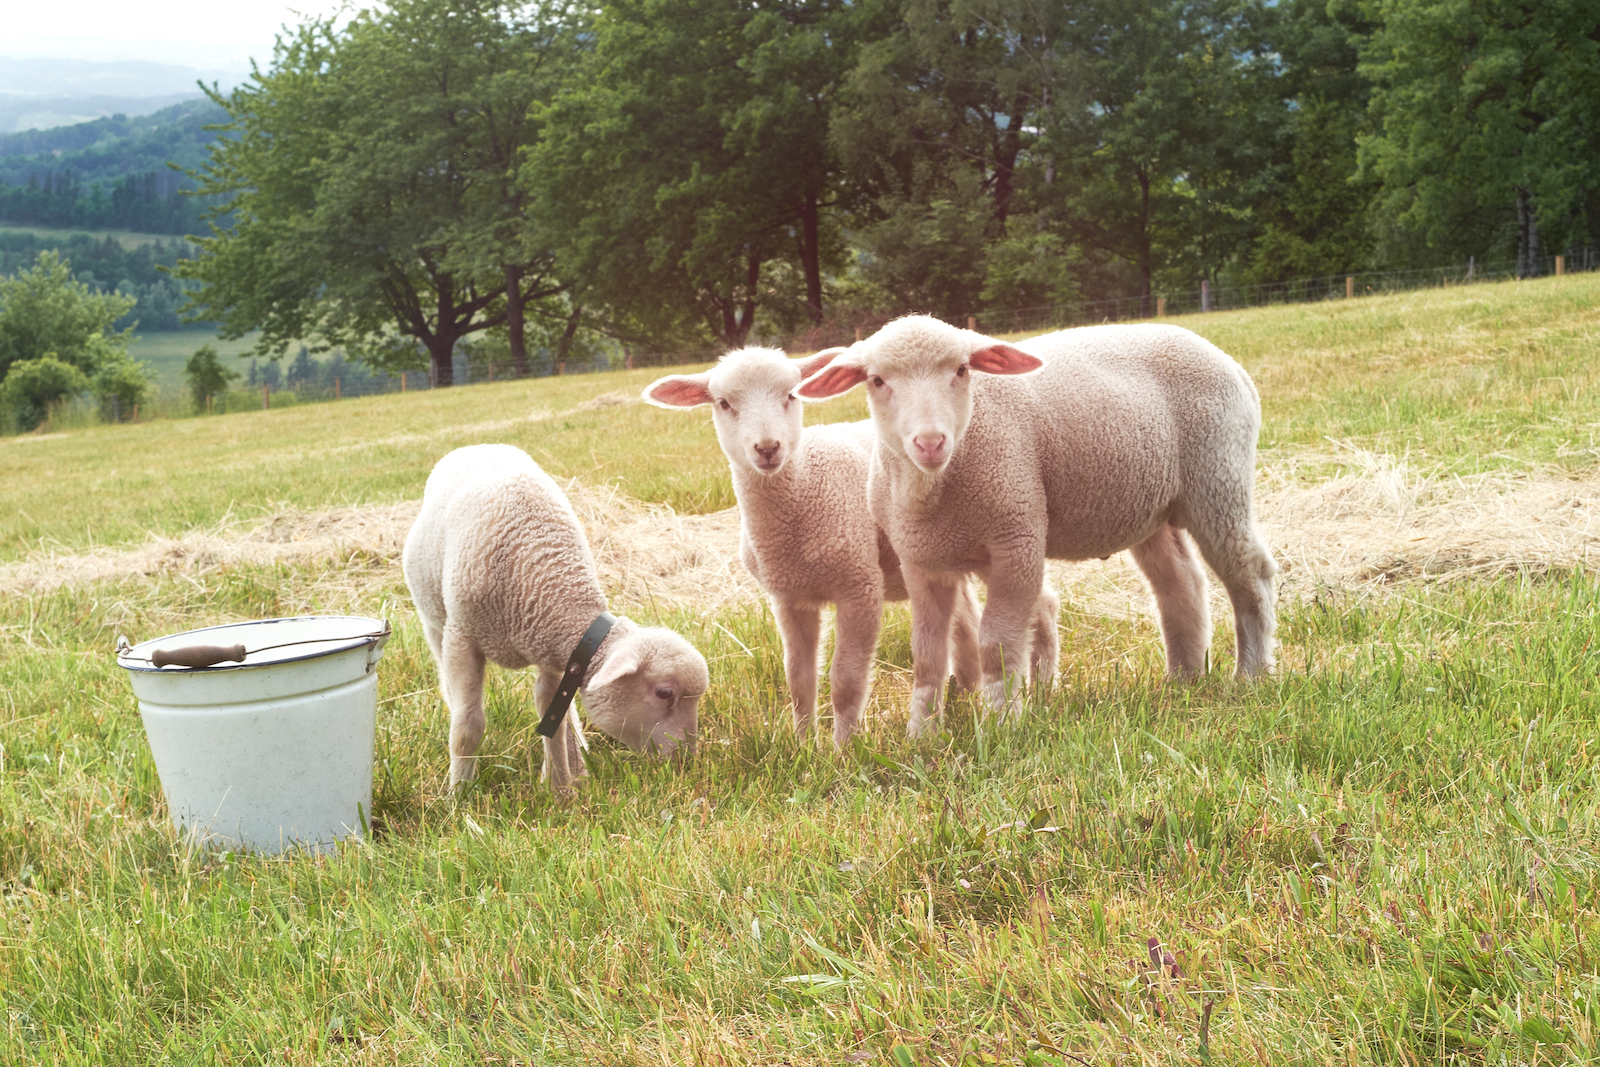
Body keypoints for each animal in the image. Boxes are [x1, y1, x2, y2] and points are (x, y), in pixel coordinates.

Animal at [402, 443, 709, 794]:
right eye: (664, 693)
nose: (686, 760)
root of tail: (478, 445)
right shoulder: (462, 637)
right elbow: (468, 725)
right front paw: (459, 792)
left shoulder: (555, 654)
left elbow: (555, 720)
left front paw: (559, 789)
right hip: (435, 622)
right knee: (448, 683)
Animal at [644, 347, 1060, 745]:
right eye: (724, 403)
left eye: (791, 394)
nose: (767, 448)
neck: (801, 491)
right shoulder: (789, 597)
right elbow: (798, 679)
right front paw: (803, 745)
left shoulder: (859, 584)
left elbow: (846, 678)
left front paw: (844, 748)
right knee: (970, 619)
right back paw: (965, 695)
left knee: (1042, 602)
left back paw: (1043, 689)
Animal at [798, 315, 1277, 734]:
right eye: (877, 380)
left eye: (962, 370)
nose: (930, 442)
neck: (936, 487)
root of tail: (1230, 362)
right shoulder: (922, 560)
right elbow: (928, 657)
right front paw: (922, 735)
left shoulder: (1018, 536)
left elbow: (996, 644)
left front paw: (1002, 725)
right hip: (1153, 506)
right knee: (1180, 584)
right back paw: (1183, 679)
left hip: (1219, 479)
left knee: (1250, 573)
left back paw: (1252, 675)